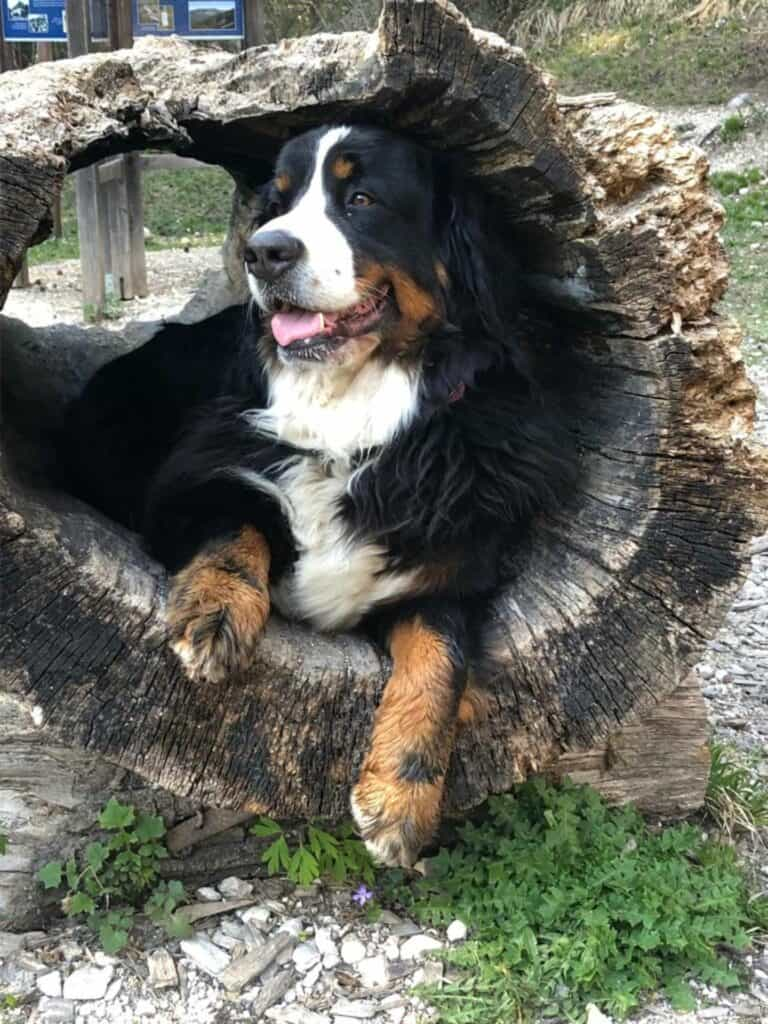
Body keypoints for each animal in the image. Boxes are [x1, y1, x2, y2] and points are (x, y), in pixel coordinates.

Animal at [61, 123, 577, 868]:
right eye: (275, 204)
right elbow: (235, 526)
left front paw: (401, 800)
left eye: (361, 198)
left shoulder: (452, 565)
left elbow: (440, 659)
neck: (347, 419)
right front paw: (215, 615)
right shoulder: (193, 480)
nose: (265, 251)